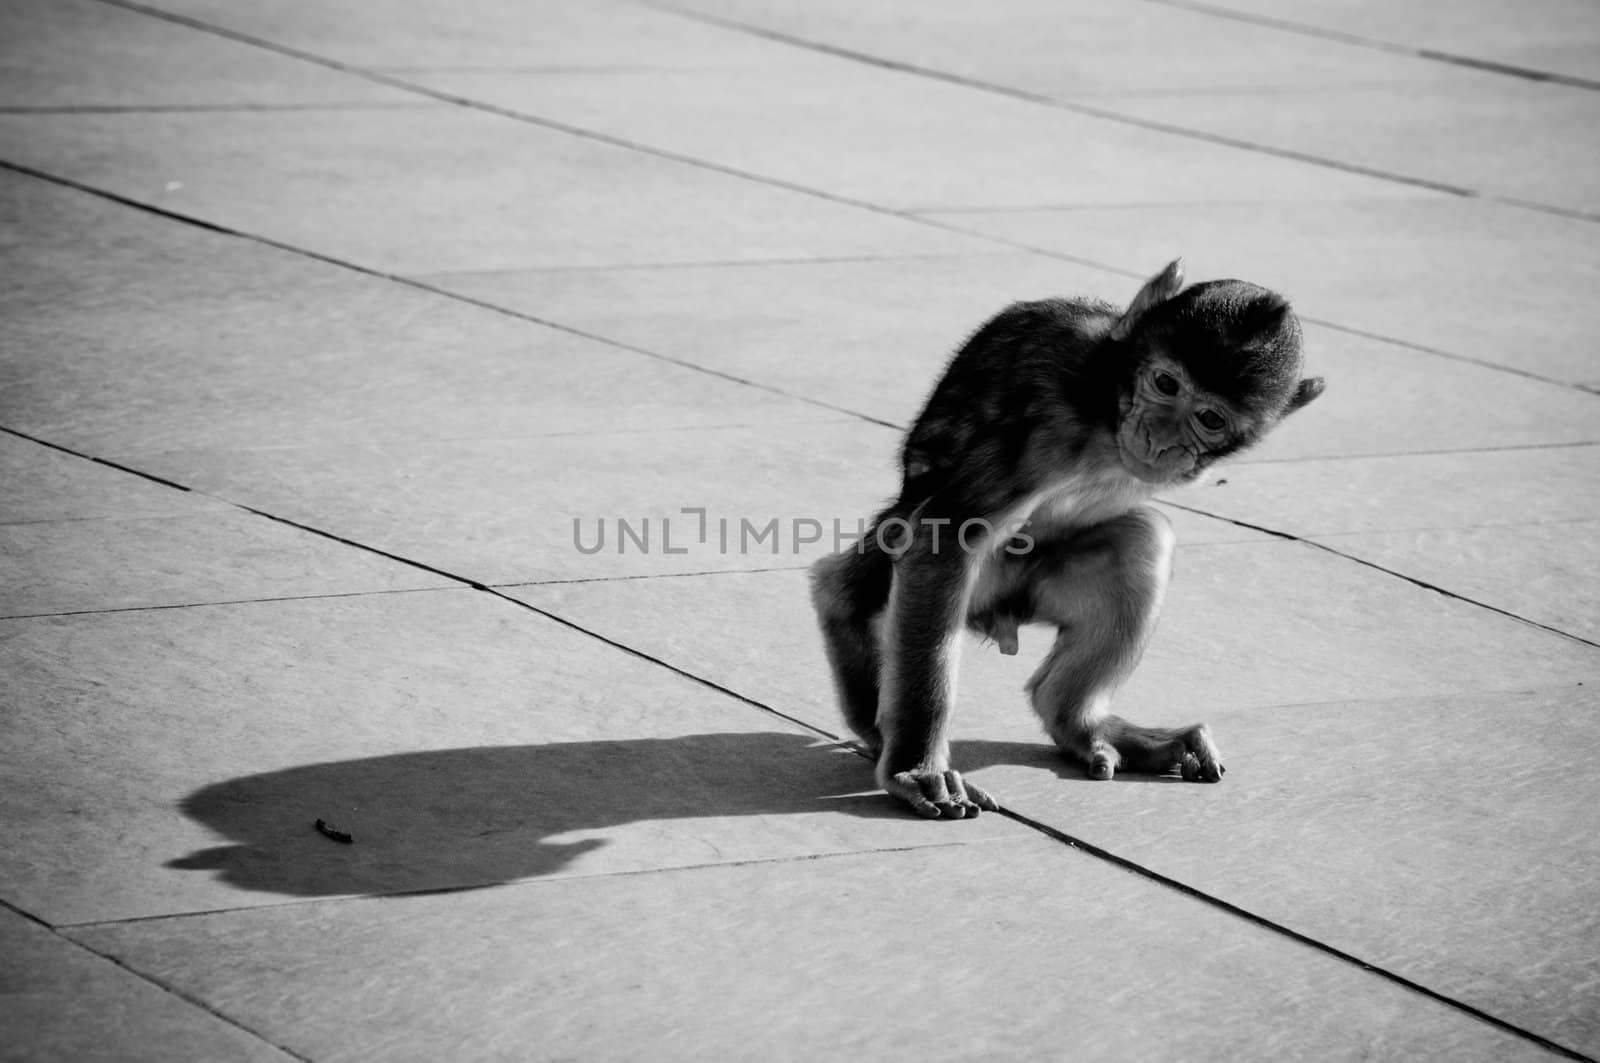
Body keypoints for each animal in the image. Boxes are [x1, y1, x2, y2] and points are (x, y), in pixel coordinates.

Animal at [812, 259, 1324, 819]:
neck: (1105, 408)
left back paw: (1079, 723)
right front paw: (917, 768)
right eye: (1166, 383)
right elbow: (944, 542)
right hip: (979, 588)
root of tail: (997, 616)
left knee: (1141, 538)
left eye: (1210, 418)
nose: (1161, 438)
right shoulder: (1045, 425)